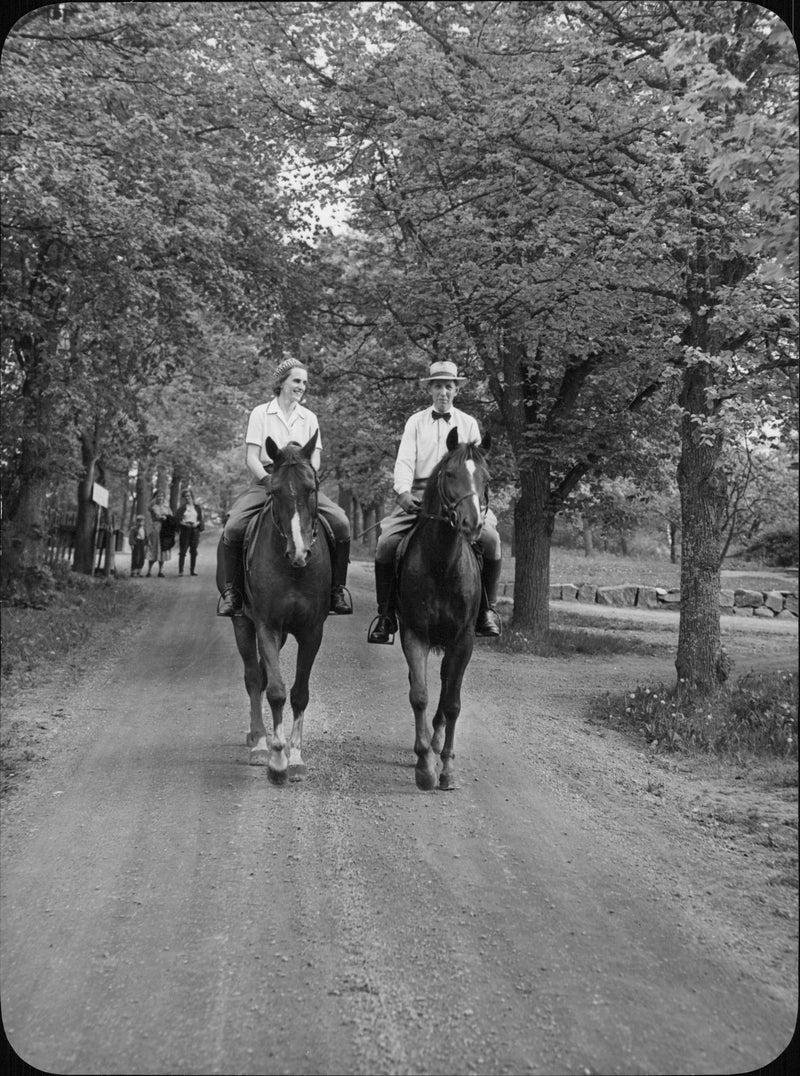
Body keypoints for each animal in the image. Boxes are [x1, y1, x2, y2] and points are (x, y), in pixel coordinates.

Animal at [223, 432, 329, 787]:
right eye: (274, 491)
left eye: (312, 487)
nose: (300, 553)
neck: (293, 570)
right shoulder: (266, 626)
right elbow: (276, 691)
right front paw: (278, 760)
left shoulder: (312, 631)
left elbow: (299, 693)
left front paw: (294, 756)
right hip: (243, 623)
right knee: (254, 677)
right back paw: (258, 742)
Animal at [398, 426, 490, 791]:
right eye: (450, 474)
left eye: (486, 477)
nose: (472, 524)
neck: (442, 563)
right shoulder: (414, 635)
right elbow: (419, 694)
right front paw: (424, 766)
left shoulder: (463, 640)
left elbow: (452, 703)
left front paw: (447, 768)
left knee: (448, 682)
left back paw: (437, 740)